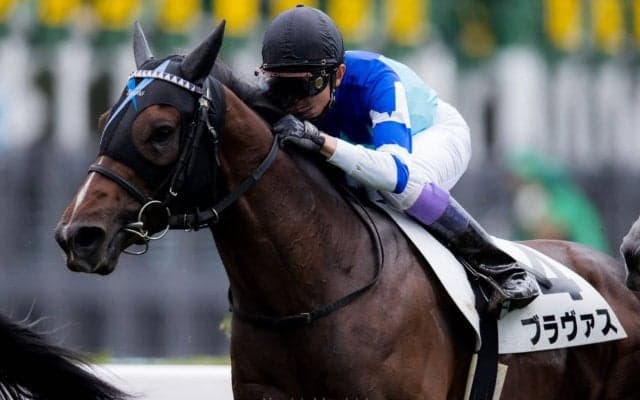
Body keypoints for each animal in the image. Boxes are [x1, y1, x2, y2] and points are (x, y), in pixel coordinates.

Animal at [54, 21, 640, 399]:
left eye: (160, 131)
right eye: (105, 118)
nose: (78, 234)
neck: (308, 292)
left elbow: (400, 169)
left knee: (414, 179)